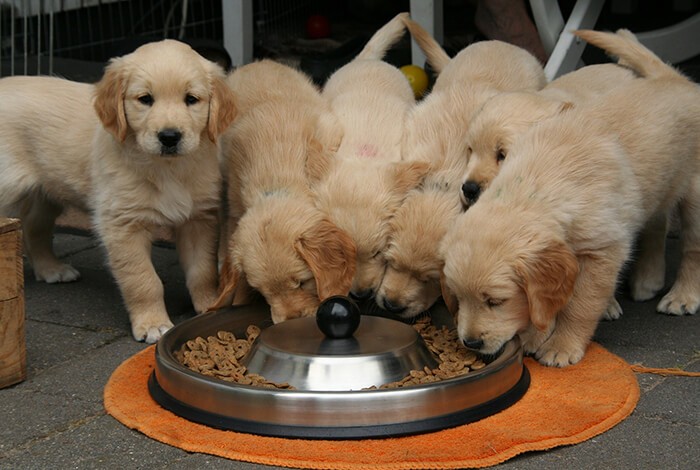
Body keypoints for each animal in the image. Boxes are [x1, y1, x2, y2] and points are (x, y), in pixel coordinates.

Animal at [211, 59, 356, 324]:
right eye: (262, 291)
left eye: (302, 282)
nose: (291, 319)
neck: (276, 183)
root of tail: (258, 62)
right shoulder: (235, 202)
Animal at [442, 30, 700, 368]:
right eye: (458, 297)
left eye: (496, 301)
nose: (471, 342)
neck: (538, 184)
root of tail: (674, 78)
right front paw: (536, 334)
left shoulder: (603, 250)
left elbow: (580, 304)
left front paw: (561, 345)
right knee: (657, 220)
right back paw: (648, 278)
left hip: (694, 192)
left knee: (693, 248)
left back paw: (683, 296)